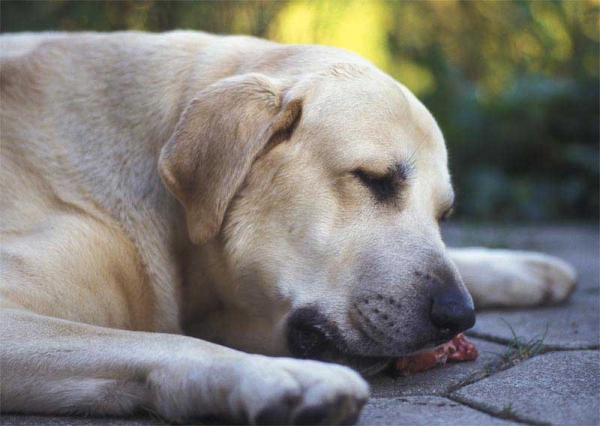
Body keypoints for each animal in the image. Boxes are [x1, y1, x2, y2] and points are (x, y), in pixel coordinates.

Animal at [0, 31, 576, 424]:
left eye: (445, 215)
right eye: (375, 180)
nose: (459, 316)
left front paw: (517, 267)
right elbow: (165, 342)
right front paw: (280, 376)